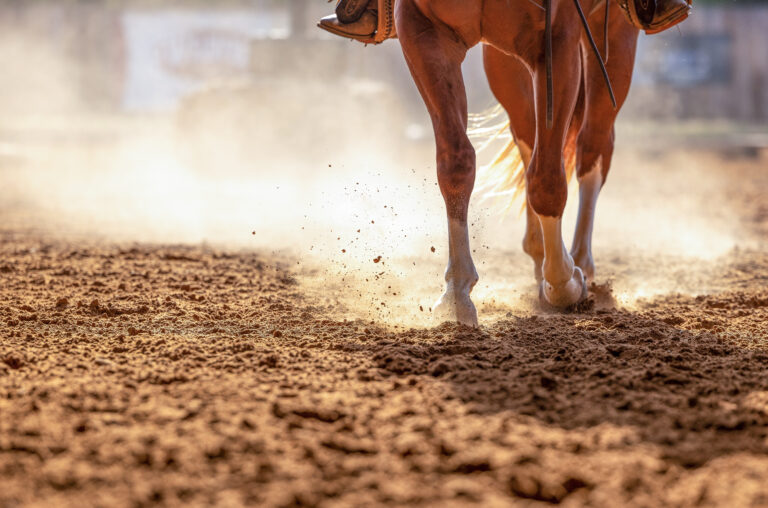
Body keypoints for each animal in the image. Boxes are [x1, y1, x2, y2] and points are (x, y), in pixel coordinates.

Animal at [394, 0, 641, 326]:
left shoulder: (558, 41)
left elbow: (547, 182)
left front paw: (565, 283)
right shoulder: (421, 28)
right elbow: (456, 163)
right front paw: (456, 292)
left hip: (612, 33)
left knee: (592, 145)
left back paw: (580, 263)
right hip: (504, 63)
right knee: (528, 134)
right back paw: (540, 253)